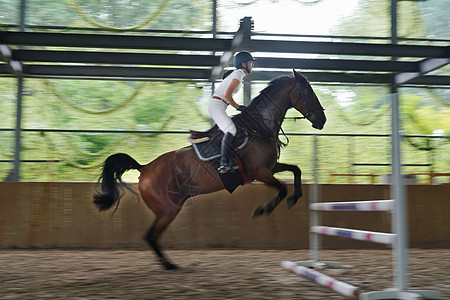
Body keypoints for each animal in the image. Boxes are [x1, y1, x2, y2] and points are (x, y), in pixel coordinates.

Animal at [93, 69, 326, 270]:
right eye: (309, 92)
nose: (322, 120)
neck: (259, 127)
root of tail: (145, 168)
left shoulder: (270, 167)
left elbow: (296, 171)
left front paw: (295, 197)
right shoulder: (260, 172)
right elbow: (282, 189)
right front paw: (263, 209)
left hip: (170, 207)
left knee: (151, 236)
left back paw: (167, 263)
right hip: (168, 209)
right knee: (150, 236)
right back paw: (169, 265)